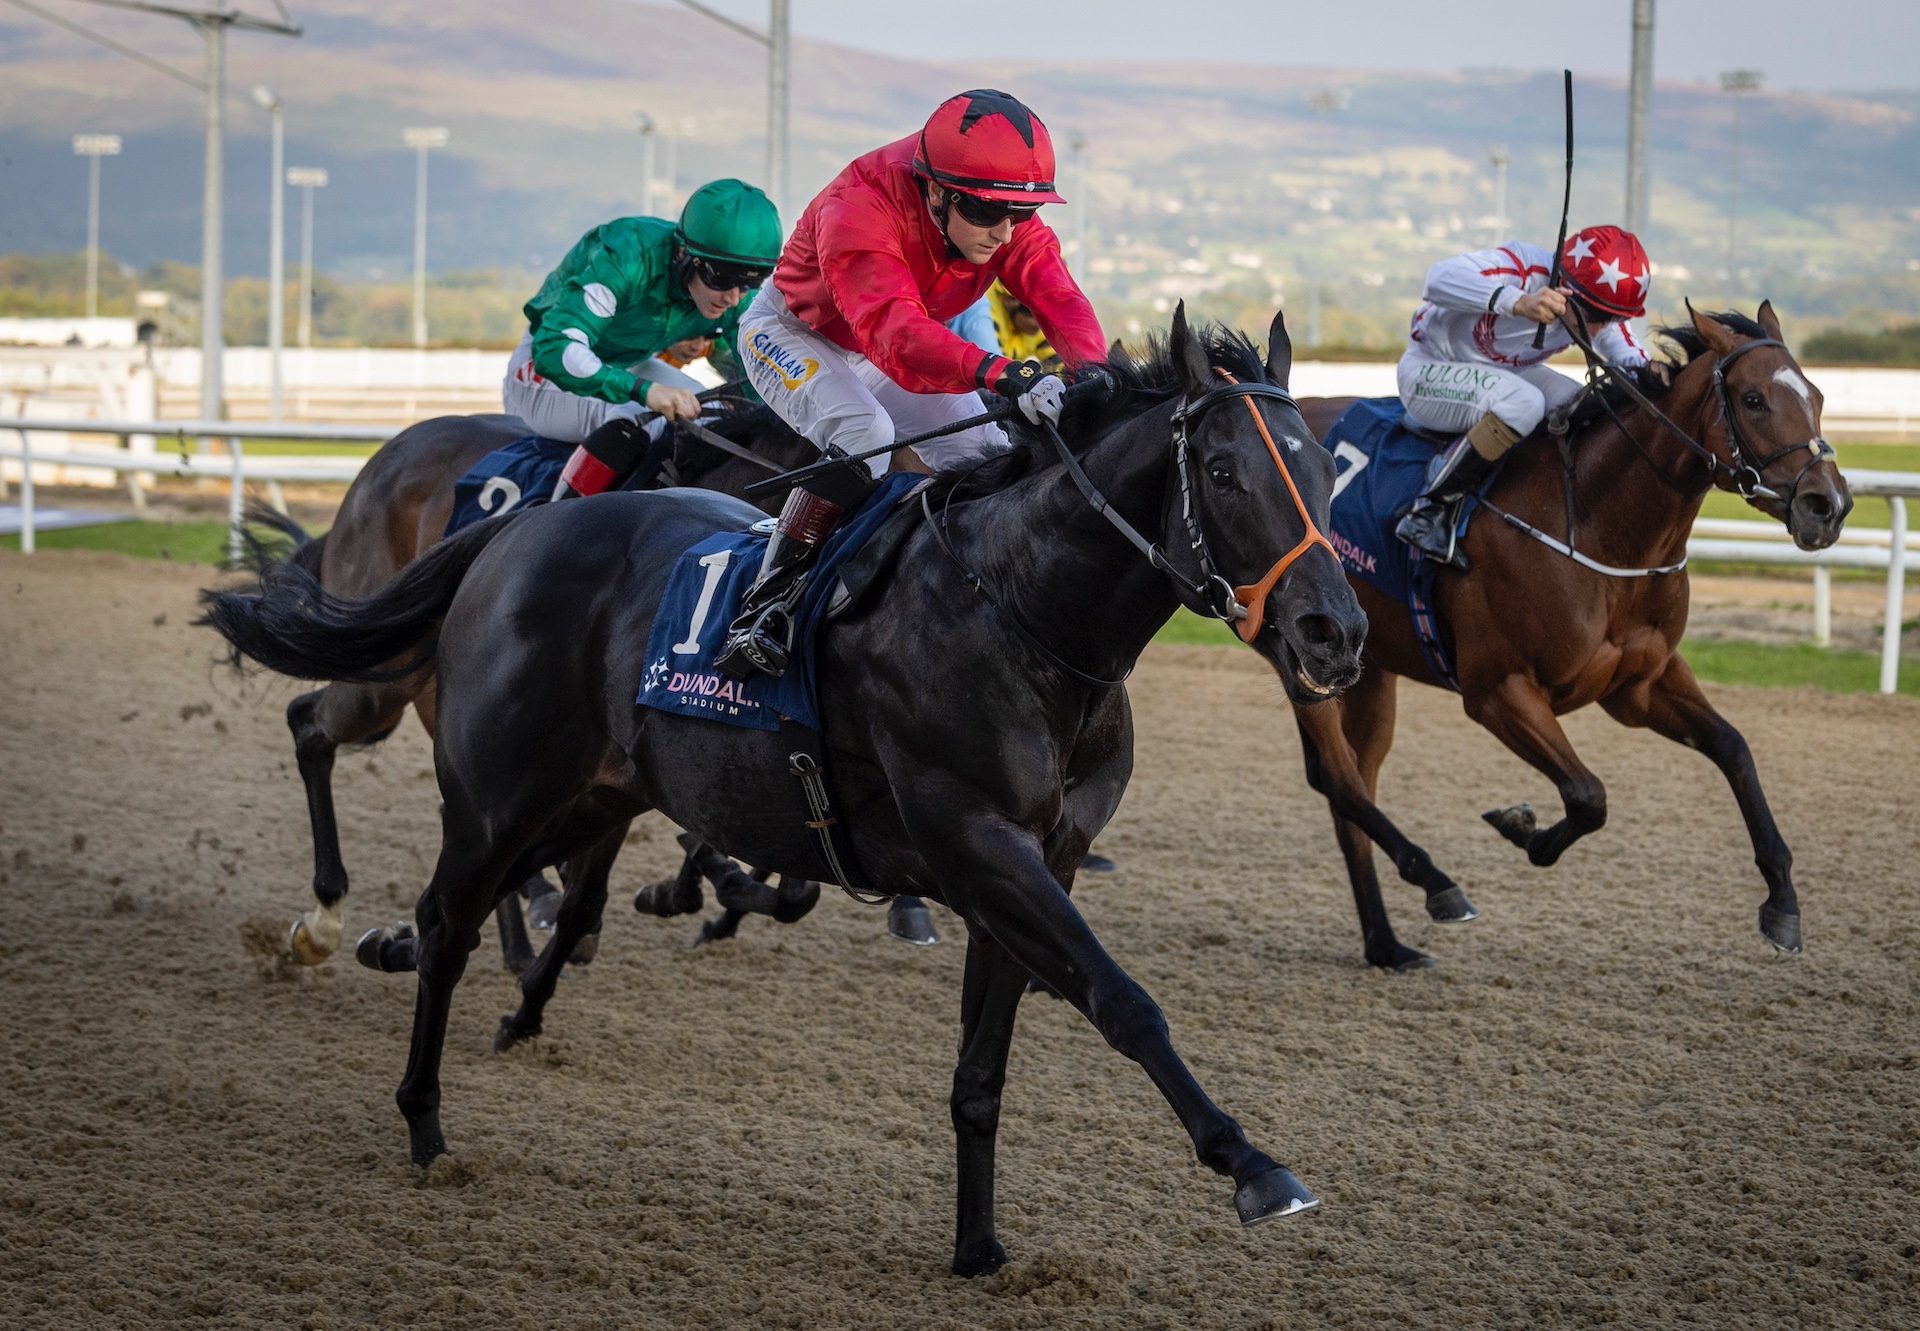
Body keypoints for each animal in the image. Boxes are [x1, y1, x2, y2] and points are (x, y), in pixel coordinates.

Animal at [202, 305, 1374, 1275]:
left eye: (1324, 471)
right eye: (1222, 472)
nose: (1336, 630)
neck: (1023, 612)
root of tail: (516, 527)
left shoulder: (1037, 861)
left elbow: (986, 1064)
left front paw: (979, 1246)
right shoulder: (978, 841)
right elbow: (1122, 998)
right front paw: (1255, 1166)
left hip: (597, 791)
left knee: (514, 893)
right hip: (488, 780)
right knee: (435, 892)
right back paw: (417, 1104)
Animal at [1290, 303, 1843, 964]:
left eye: (1816, 394)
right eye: (1754, 398)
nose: (1828, 505)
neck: (1600, 527)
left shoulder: (1640, 684)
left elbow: (1734, 749)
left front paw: (1783, 902)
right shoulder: (1498, 690)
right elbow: (1588, 796)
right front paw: (1521, 828)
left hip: (1370, 666)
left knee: (1357, 779)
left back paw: (1386, 944)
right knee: (1337, 776)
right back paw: (1436, 889)